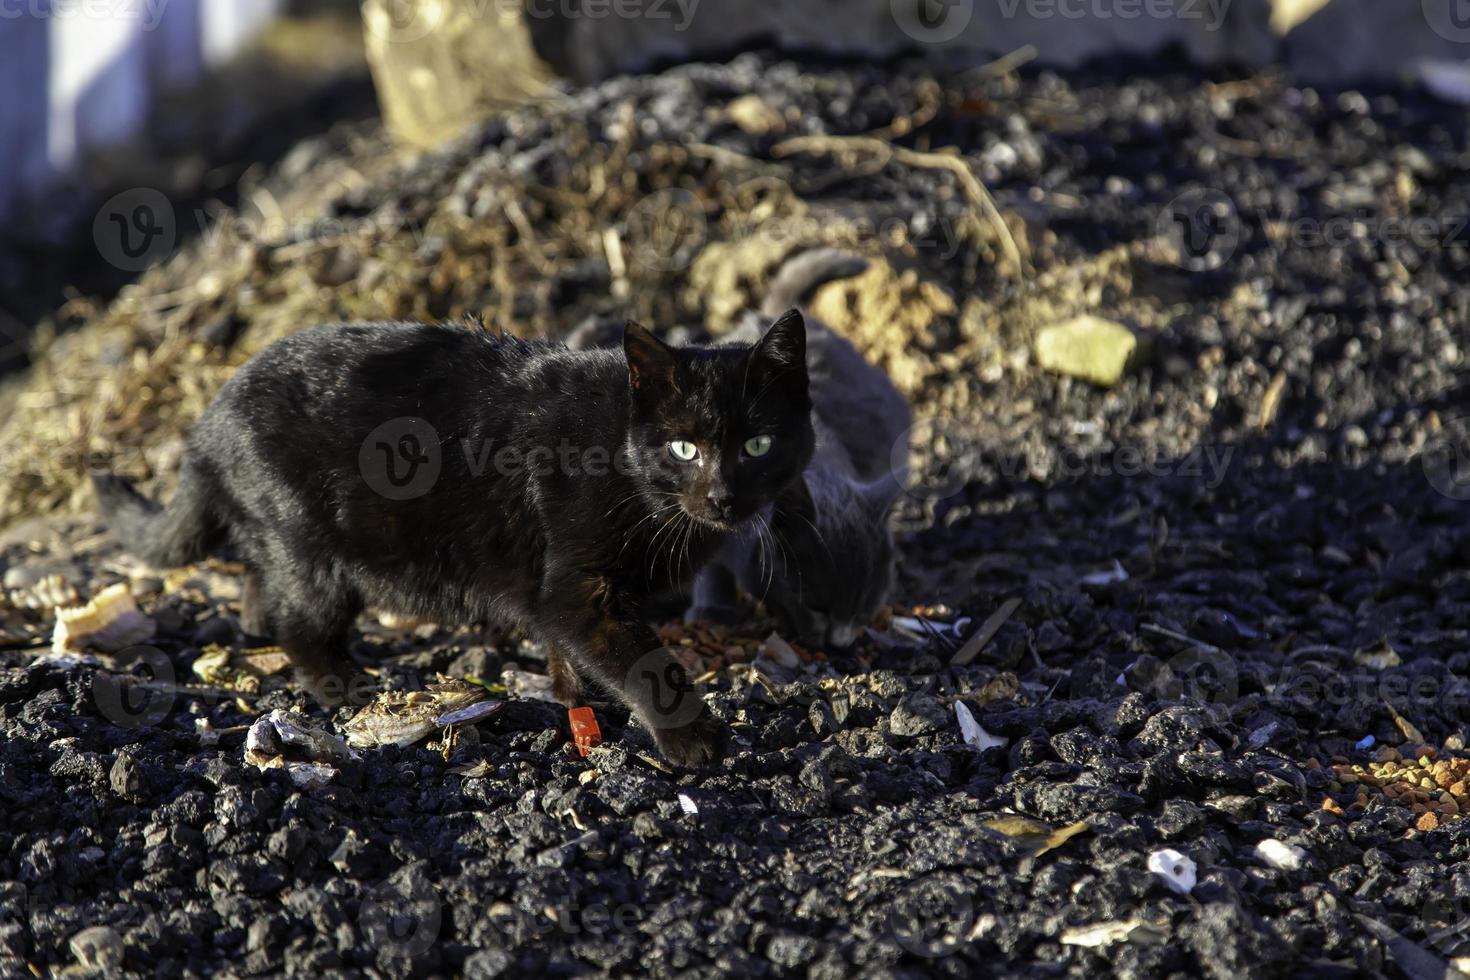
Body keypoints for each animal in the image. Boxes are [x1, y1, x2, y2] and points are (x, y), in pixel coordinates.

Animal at [94, 315, 817, 764]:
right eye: (683, 447)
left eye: (757, 444)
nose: (723, 496)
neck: (624, 460)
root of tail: (206, 423)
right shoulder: (575, 587)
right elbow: (646, 663)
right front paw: (693, 739)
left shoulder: (564, 593)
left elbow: (570, 651)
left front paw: (576, 704)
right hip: (311, 545)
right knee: (296, 618)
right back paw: (339, 683)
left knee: (259, 582)